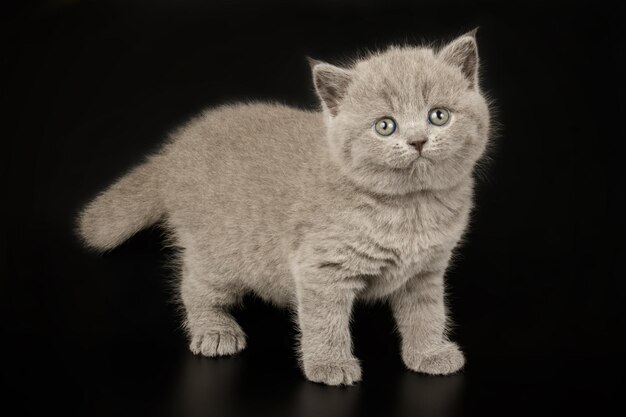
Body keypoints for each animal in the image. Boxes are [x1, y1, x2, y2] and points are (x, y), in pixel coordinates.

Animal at [77, 30, 488, 386]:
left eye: (439, 115)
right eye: (385, 126)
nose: (418, 141)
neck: (412, 208)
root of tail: (172, 153)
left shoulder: (425, 271)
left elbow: (427, 313)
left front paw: (430, 353)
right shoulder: (321, 268)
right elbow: (324, 321)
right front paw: (329, 364)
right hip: (221, 254)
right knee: (193, 285)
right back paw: (214, 330)